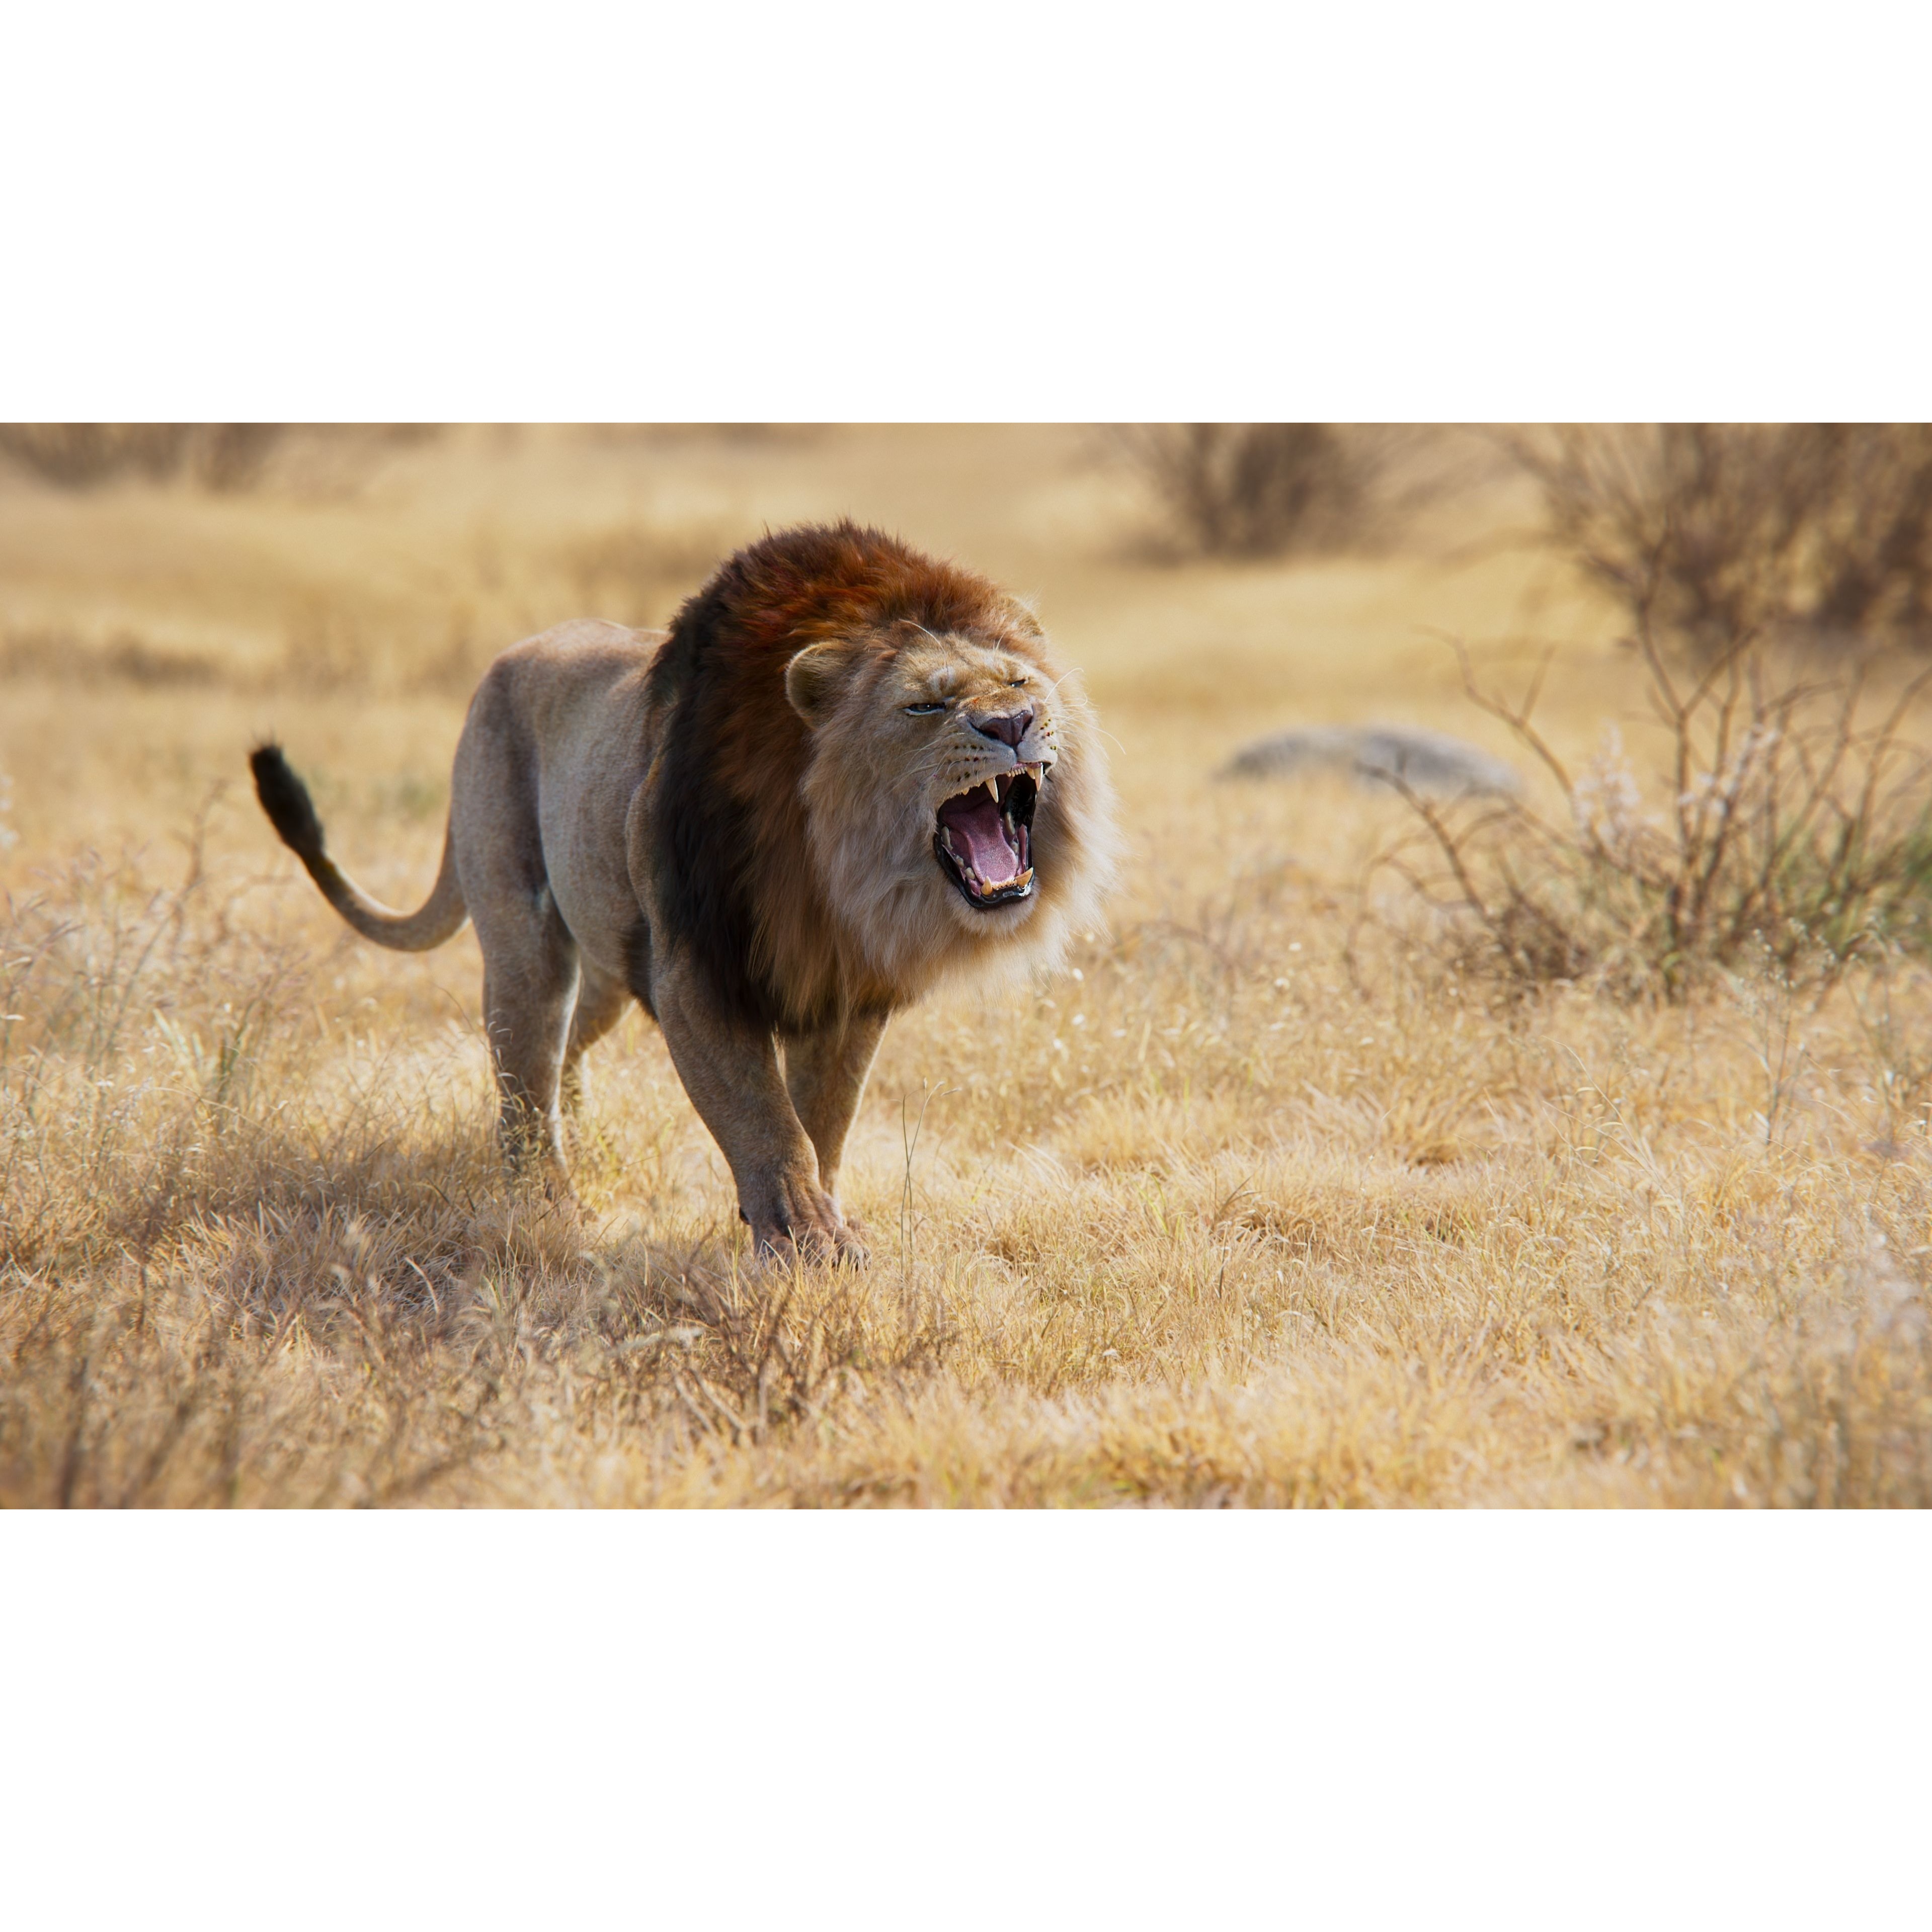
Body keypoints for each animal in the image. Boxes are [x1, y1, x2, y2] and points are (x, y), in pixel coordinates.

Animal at [250, 521, 1117, 1263]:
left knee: (569, 1052)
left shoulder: (847, 990)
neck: (834, 873)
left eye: (1019, 680)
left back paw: (589, 1143)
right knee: (523, 1074)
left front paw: (824, 1220)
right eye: (925, 704)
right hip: (528, 940)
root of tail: (502, 663)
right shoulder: (697, 969)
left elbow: (824, 1117)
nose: (1012, 722)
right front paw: (806, 1240)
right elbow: (766, 1118)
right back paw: (548, 1205)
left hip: (606, 960)